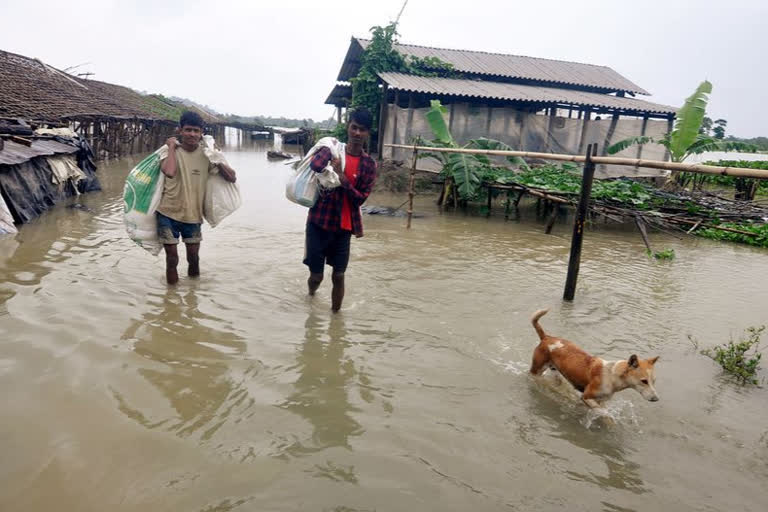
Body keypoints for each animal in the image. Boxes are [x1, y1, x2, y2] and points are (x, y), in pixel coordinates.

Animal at [528, 310, 660, 410]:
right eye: (644, 381)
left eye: (654, 381)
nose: (656, 399)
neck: (612, 375)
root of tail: (546, 337)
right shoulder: (587, 397)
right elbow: (602, 412)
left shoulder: (601, 400)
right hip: (537, 369)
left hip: (555, 371)